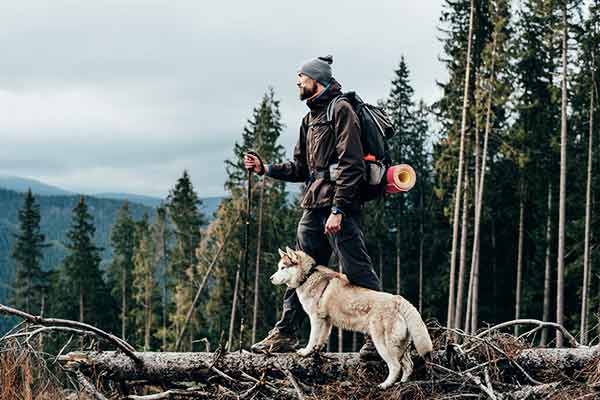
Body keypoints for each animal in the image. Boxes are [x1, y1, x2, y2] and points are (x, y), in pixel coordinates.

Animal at [270, 247, 434, 388]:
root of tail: (397, 299)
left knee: (396, 366)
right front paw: (316, 352)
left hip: (383, 345)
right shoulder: (326, 322)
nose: (271, 278)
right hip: (400, 346)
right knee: (409, 366)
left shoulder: (315, 319)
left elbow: (312, 339)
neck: (307, 276)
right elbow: (321, 340)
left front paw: (305, 352)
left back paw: (385, 385)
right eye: (278, 267)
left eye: (283, 267)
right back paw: (402, 383)